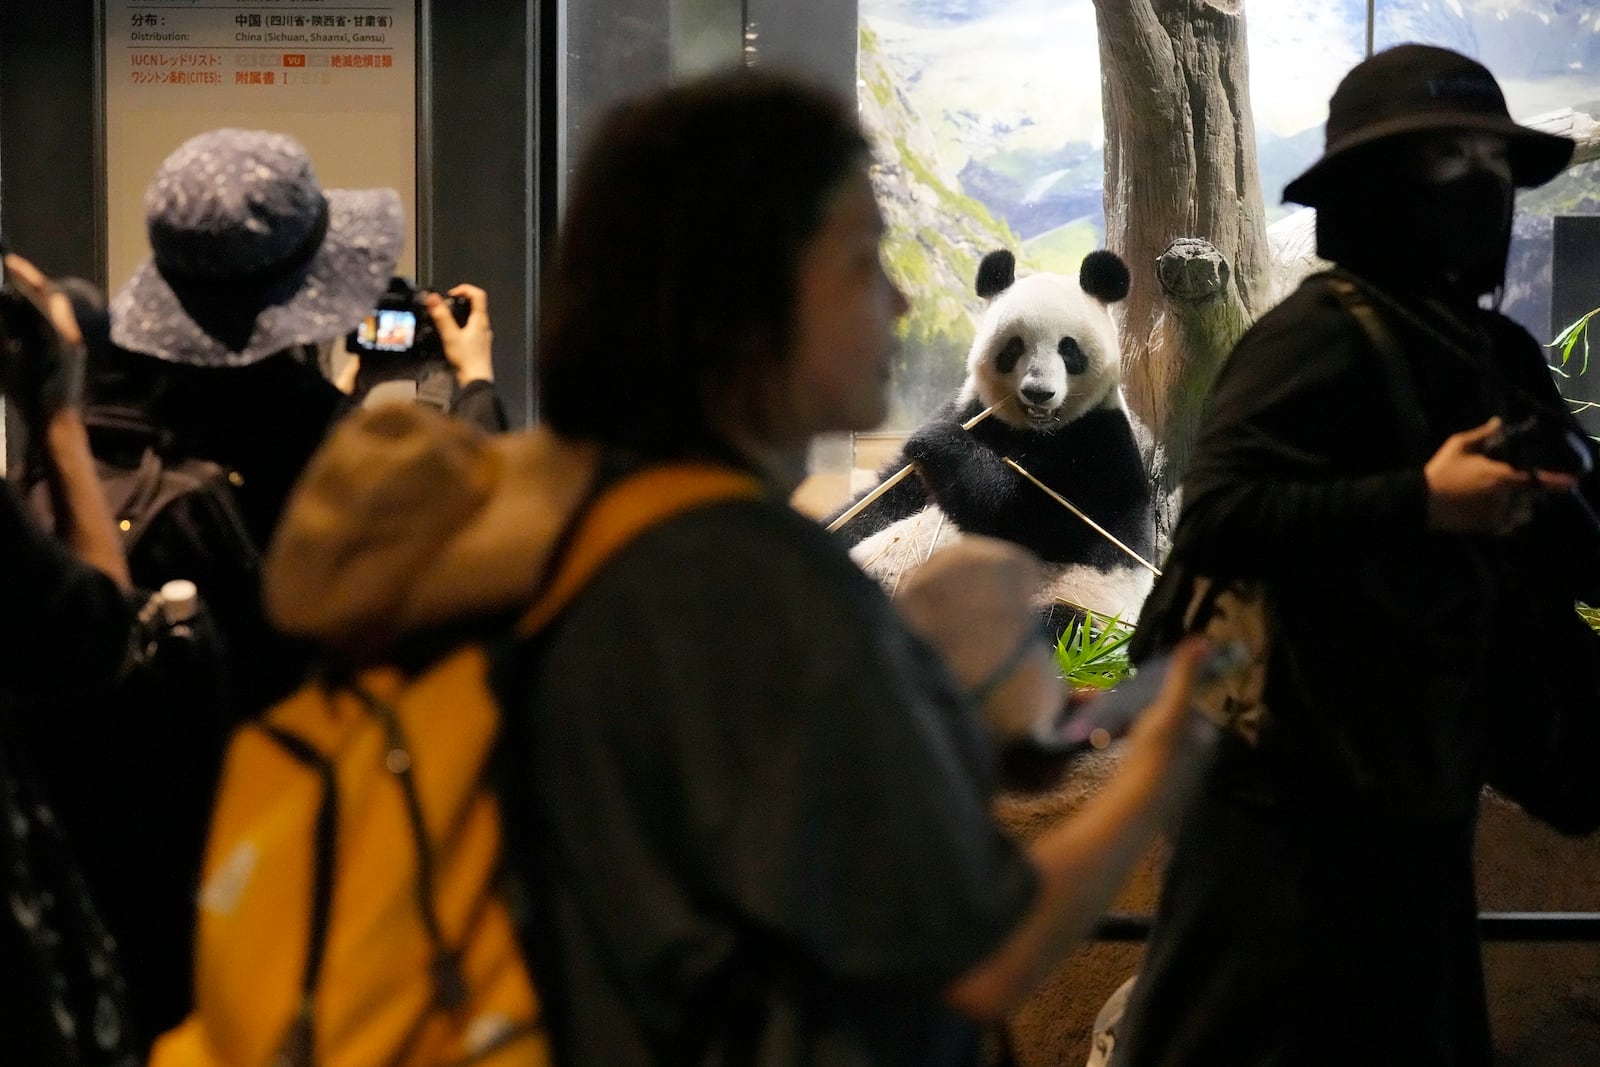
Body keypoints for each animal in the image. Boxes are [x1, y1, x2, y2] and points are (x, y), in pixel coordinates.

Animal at [832, 249, 1158, 630]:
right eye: (1015, 347)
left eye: (1068, 349)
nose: (1039, 392)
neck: (1035, 432)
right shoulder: (972, 410)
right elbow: (883, 500)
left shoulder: (1101, 446)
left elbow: (1037, 521)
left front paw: (938, 443)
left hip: (1083, 603)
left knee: (1055, 626)